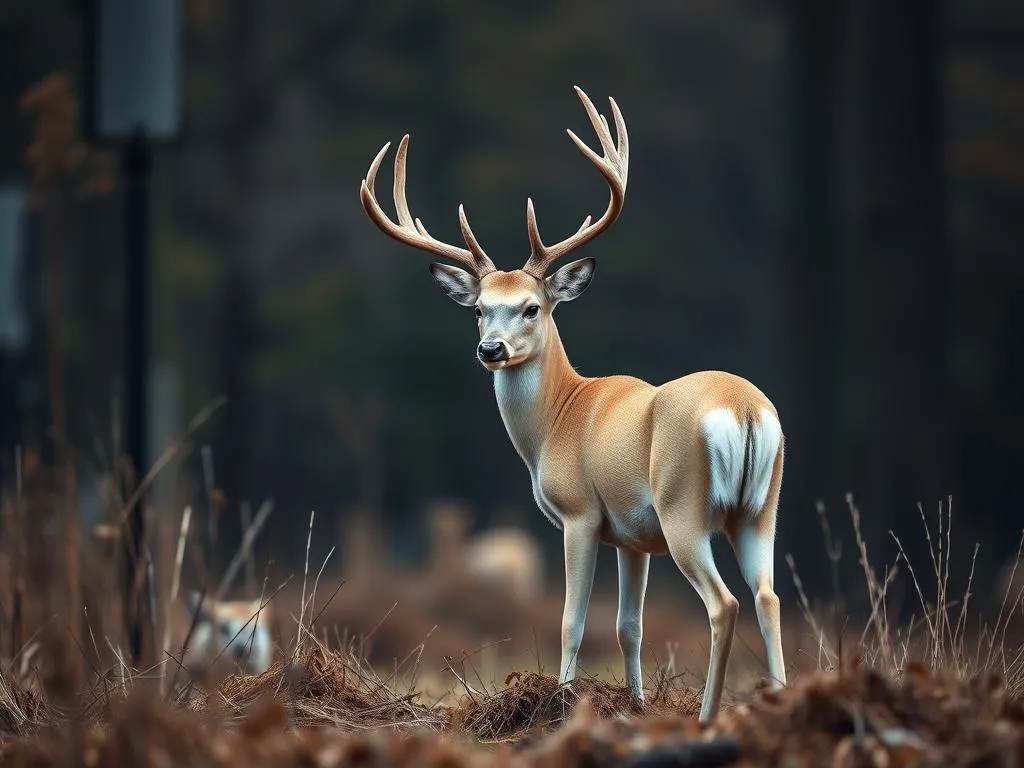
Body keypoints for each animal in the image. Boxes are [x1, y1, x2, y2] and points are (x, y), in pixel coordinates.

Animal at [358, 85, 782, 720]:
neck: (558, 419)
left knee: (724, 603)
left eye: (532, 306)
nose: (490, 349)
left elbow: (571, 621)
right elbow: (629, 627)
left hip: (685, 505)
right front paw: (633, 704)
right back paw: (785, 699)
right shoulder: (634, 537)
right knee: (767, 596)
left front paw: (561, 701)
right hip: (759, 509)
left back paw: (709, 715)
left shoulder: (580, 513)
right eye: (479, 309)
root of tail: (745, 410)